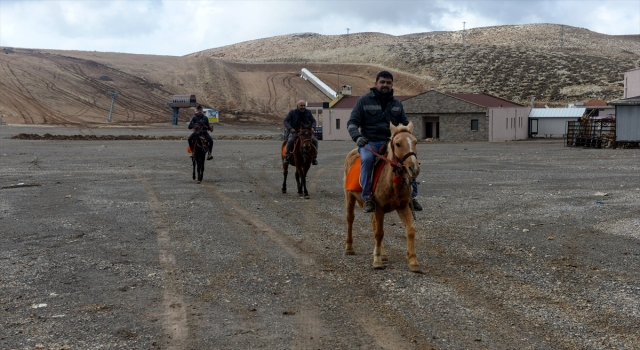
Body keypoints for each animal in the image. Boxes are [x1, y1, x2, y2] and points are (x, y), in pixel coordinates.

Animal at [342, 121, 422, 272]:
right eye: (398, 143)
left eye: (415, 142)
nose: (413, 168)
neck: (391, 181)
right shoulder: (378, 208)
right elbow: (379, 233)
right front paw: (377, 261)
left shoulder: (403, 206)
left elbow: (410, 230)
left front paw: (413, 261)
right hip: (349, 197)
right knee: (350, 220)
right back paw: (349, 248)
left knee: (374, 225)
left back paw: (383, 254)